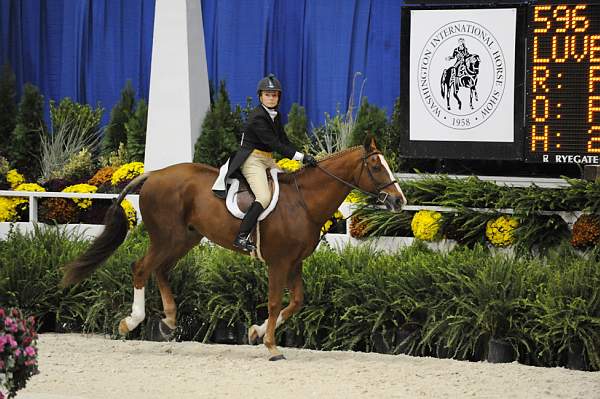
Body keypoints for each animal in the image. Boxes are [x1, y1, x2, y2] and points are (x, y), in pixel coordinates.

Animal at [62, 137, 408, 360]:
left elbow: (296, 302)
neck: (304, 201)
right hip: (166, 238)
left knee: (159, 270)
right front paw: (271, 346)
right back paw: (131, 321)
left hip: (184, 239)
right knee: (141, 268)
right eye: (377, 167)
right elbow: (274, 302)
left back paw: (170, 321)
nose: (399, 201)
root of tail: (154, 174)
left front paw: (255, 332)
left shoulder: (295, 262)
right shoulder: (278, 262)